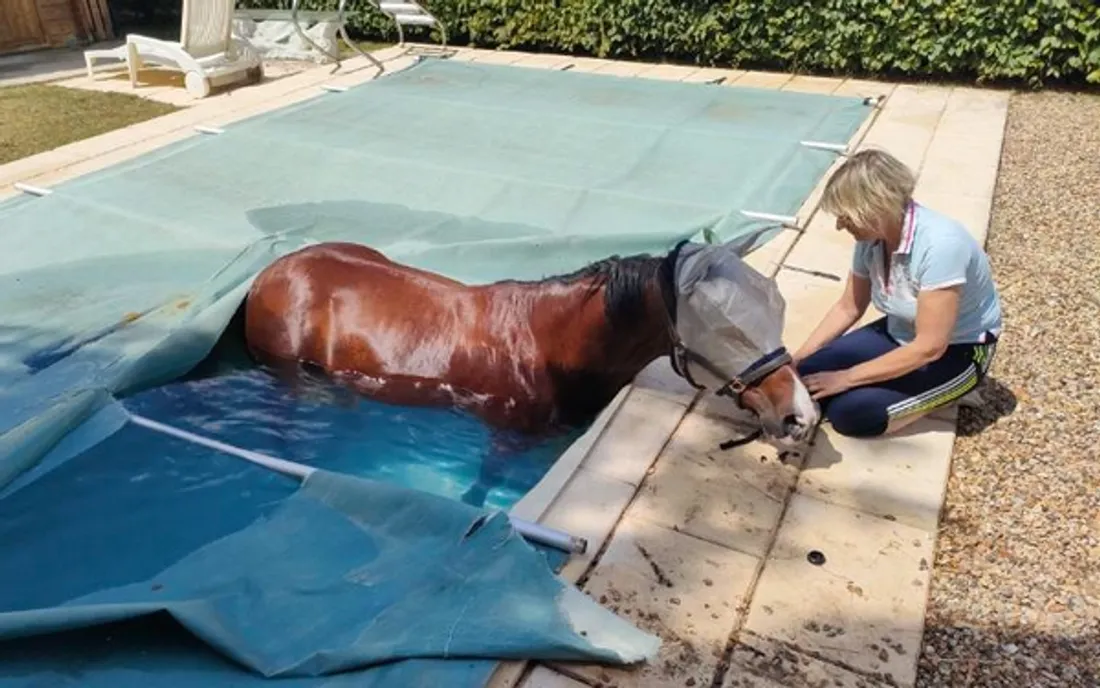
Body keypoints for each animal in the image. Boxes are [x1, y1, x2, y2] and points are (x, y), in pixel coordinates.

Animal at [240, 240, 819, 505]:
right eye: (726, 328)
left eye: (776, 307)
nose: (800, 415)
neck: (550, 344)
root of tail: (272, 270)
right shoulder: (505, 438)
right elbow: (482, 490)